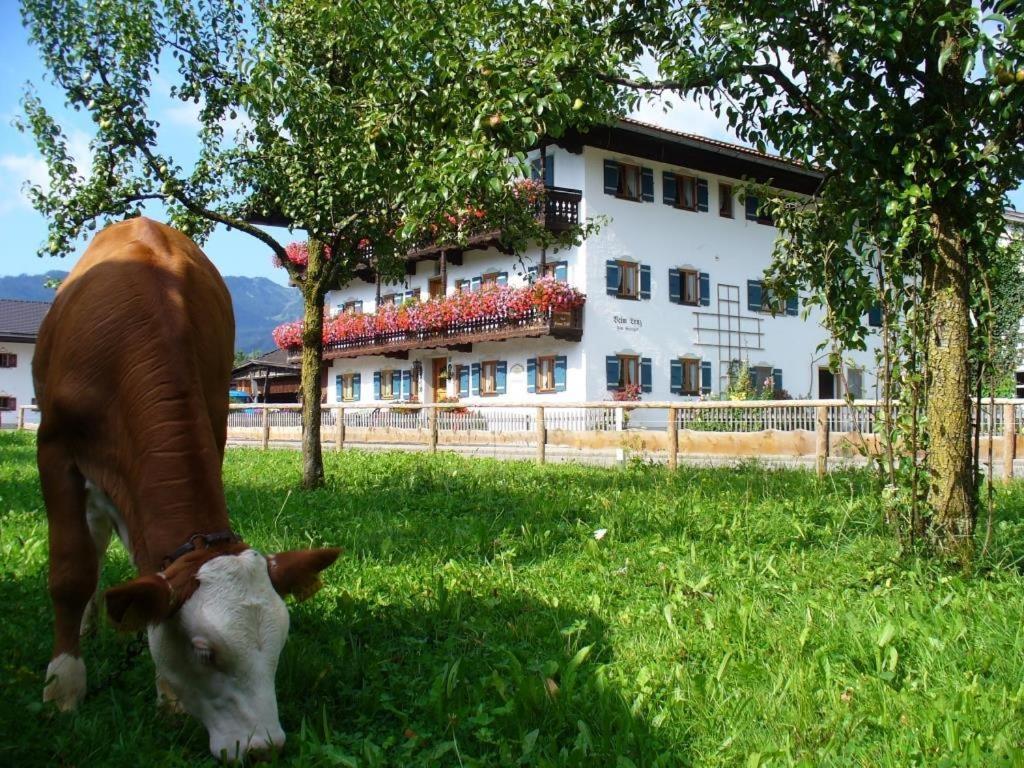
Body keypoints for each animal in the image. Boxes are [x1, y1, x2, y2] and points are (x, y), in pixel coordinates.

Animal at [34, 218, 339, 765]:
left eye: (279, 647)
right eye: (205, 652)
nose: (263, 747)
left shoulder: (211, 430)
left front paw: (168, 693)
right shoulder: (54, 447)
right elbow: (69, 571)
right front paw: (63, 687)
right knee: (89, 545)